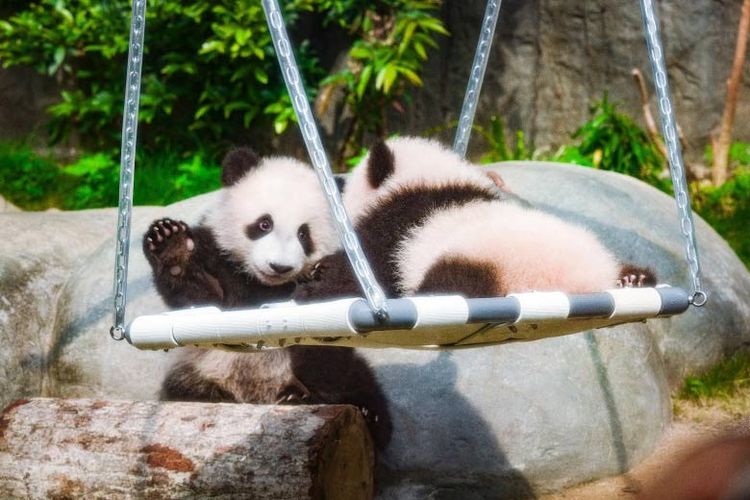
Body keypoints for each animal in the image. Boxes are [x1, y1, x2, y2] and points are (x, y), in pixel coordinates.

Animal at [143, 147, 392, 450]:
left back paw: (345, 408)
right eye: (264, 224)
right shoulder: (219, 258)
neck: (266, 286)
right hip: (201, 368)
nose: (279, 267)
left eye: (303, 234)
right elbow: (199, 304)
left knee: (353, 380)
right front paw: (174, 249)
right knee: (182, 389)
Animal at [294, 136, 655, 303]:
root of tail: (586, 281)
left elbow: (369, 271)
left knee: (448, 287)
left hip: (480, 259)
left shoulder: (396, 229)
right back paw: (634, 278)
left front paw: (316, 279)